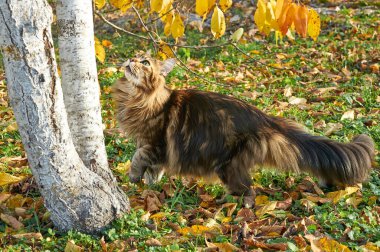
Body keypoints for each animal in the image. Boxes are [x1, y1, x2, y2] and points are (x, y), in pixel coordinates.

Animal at [111, 55, 376, 207]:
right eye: (135, 57)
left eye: (145, 62)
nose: (130, 60)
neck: (135, 97)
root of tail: (265, 118)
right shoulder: (157, 150)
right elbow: (154, 170)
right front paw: (150, 186)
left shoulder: (154, 143)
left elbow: (138, 158)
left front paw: (133, 178)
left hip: (227, 165)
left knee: (248, 192)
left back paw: (227, 205)